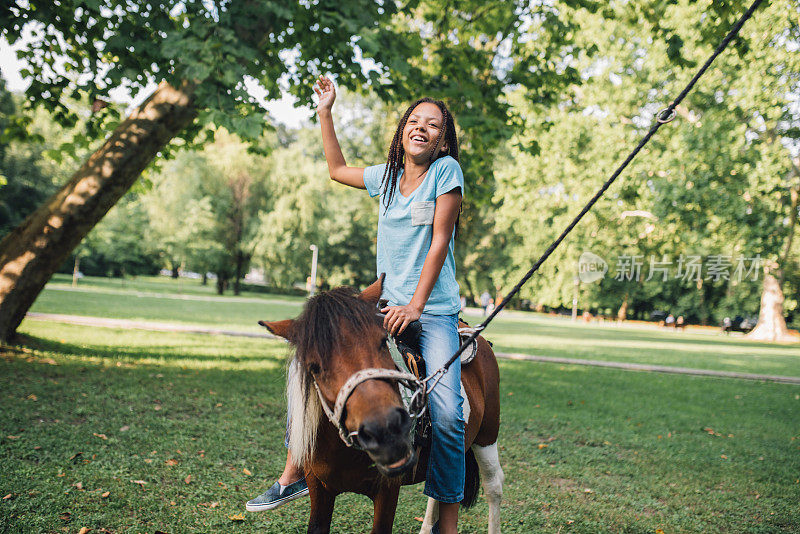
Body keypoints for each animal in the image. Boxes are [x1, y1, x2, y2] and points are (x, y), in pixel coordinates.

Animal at [260, 280, 504, 534]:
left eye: (381, 342)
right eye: (314, 367)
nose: (386, 431)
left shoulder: (387, 492)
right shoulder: (319, 488)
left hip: (487, 435)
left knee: (493, 485)